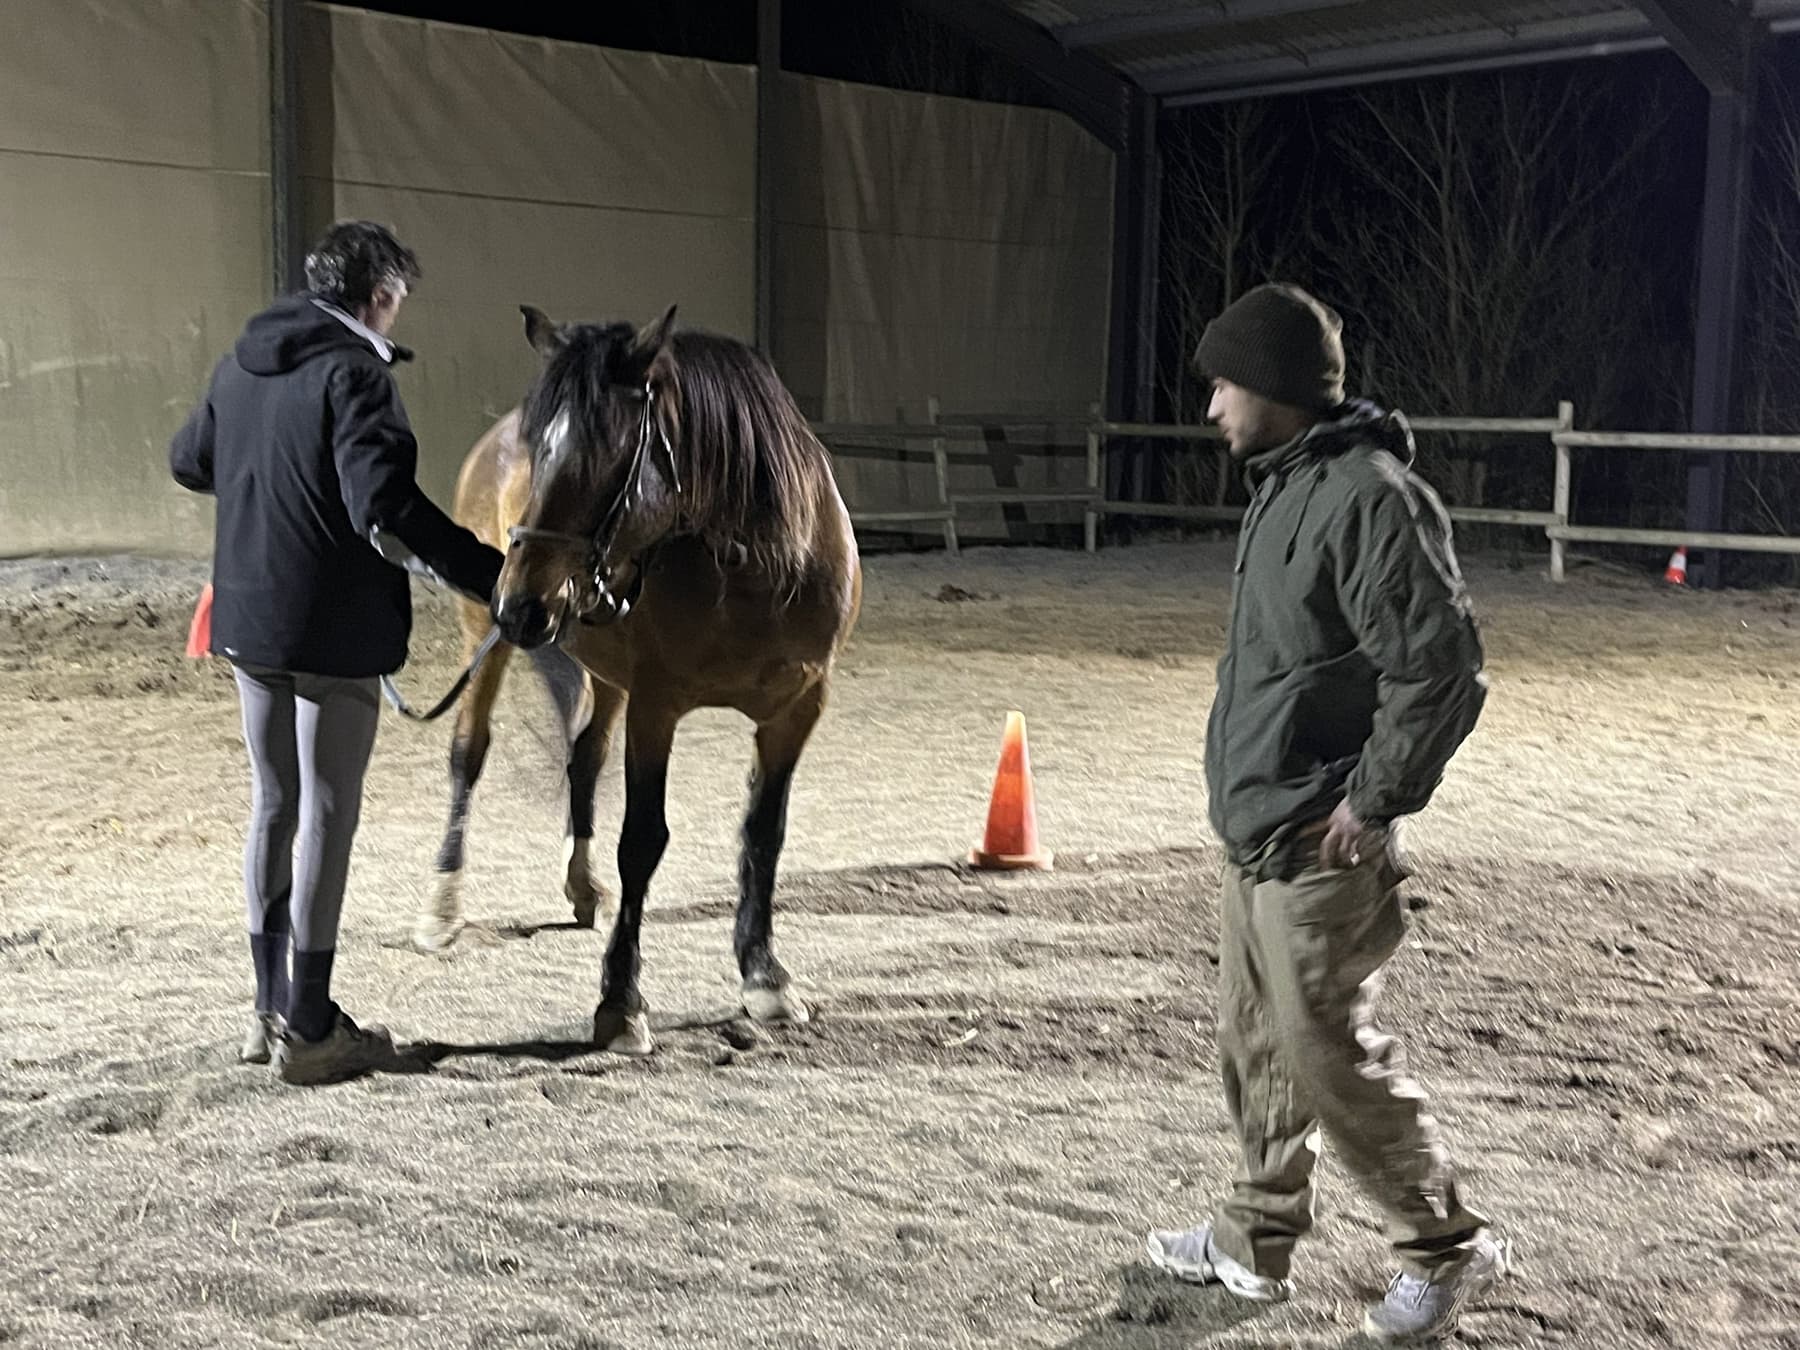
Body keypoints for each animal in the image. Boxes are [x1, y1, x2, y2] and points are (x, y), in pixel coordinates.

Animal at [414, 304, 862, 1056]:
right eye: (540, 449)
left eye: (607, 453)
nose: (521, 603)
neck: (756, 566)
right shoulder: (659, 706)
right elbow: (643, 842)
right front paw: (620, 1001)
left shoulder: (797, 708)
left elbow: (763, 834)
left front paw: (765, 977)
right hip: (484, 637)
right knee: (468, 753)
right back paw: (442, 908)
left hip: (599, 667)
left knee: (584, 755)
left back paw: (580, 887)